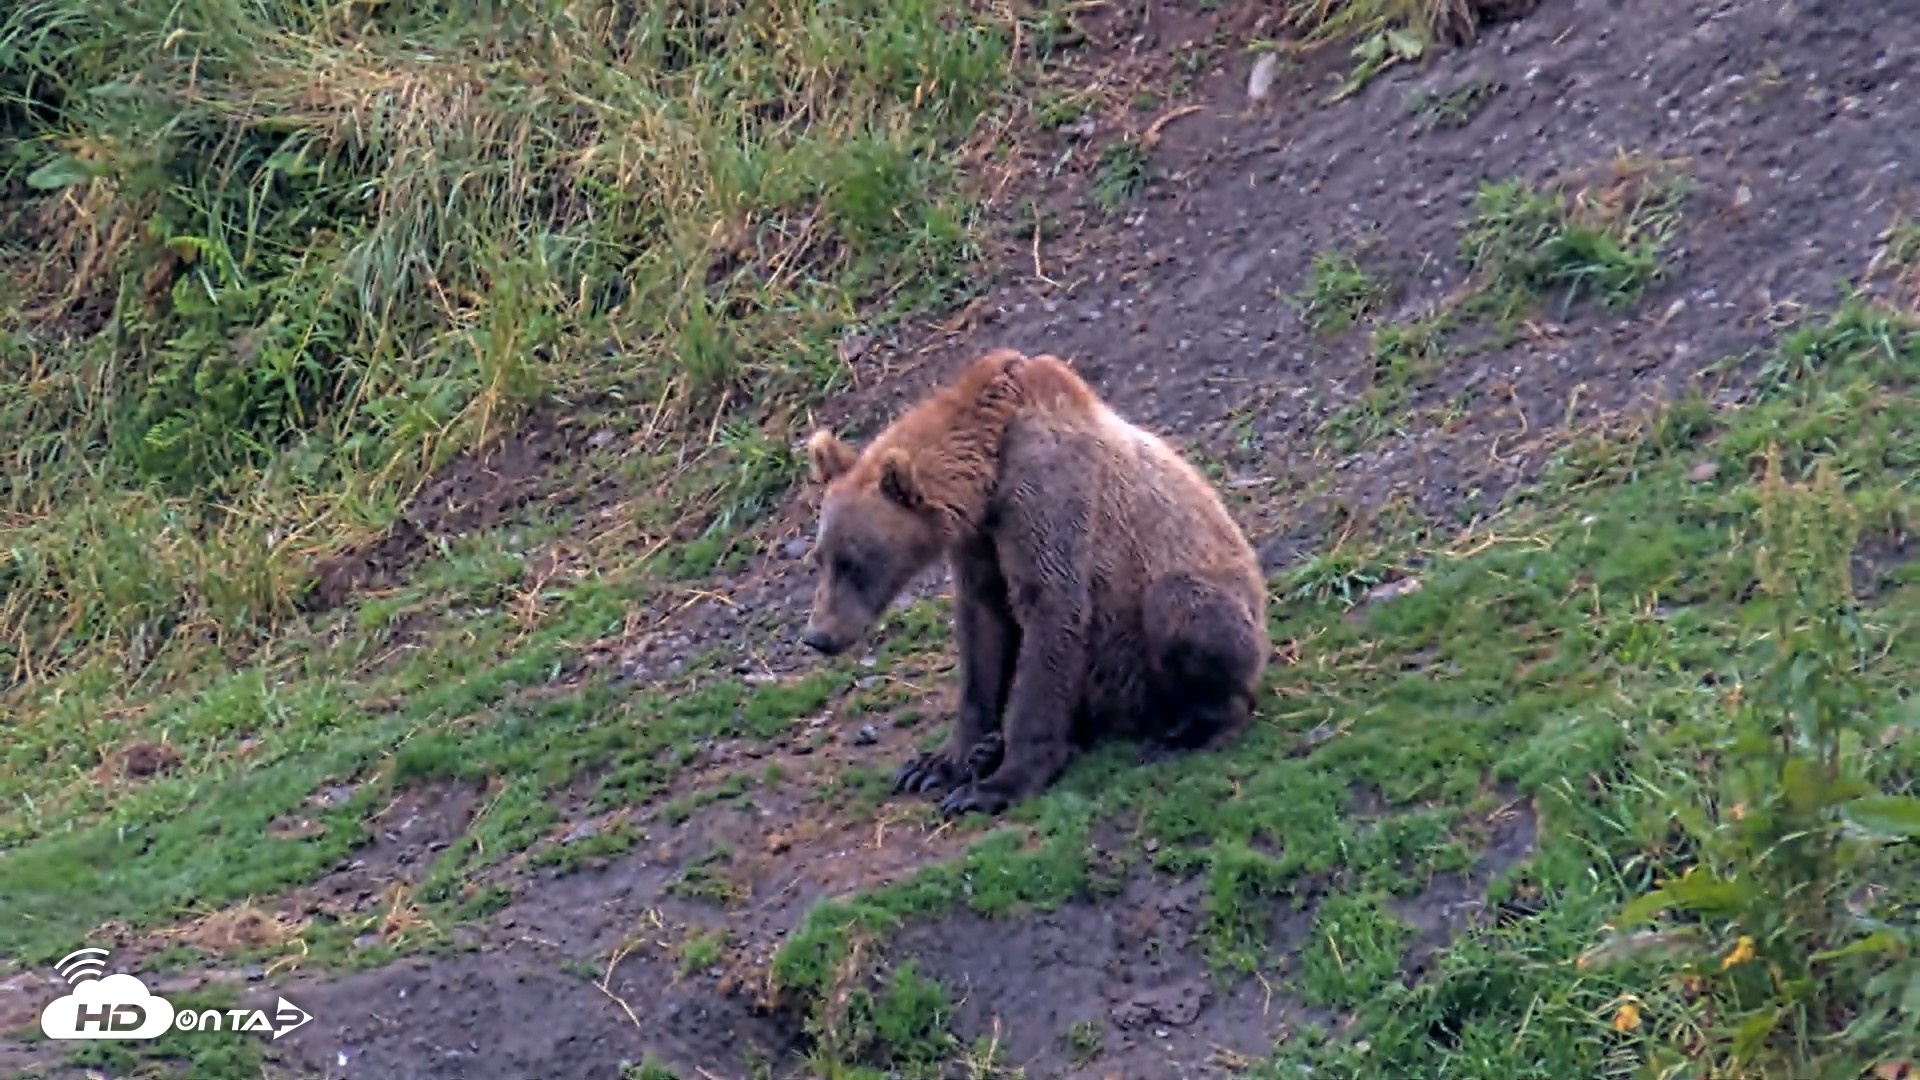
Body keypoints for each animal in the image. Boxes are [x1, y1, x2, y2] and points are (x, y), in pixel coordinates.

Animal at [799, 347, 1269, 818]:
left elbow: (1051, 612)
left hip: (1187, 619)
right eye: (820, 558)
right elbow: (982, 628)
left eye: (854, 563)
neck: (988, 473)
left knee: (1182, 610)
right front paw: (936, 764)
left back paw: (1191, 731)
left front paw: (993, 787)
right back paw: (994, 749)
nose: (818, 636)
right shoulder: (980, 541)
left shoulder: (1049, 493)